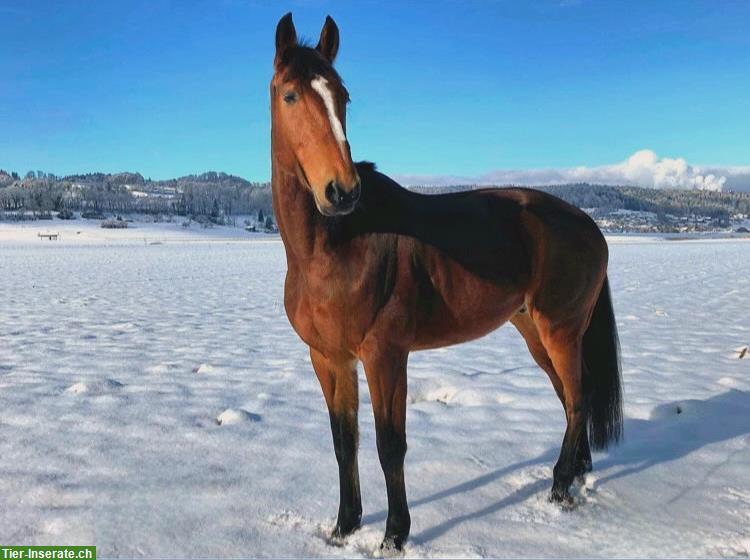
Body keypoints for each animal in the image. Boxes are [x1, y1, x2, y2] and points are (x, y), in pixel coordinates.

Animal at [270, 13, 624, 552]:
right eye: (290, 95)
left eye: (343, 95)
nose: (341, 190)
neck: (333, 248)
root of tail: (588, 224)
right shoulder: (329, 358)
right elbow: (344, 442)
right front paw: (344, 527)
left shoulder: (385, 356)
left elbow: (389, 445)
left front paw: (394, 535)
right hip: (536, 333)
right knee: (571, 400)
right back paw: (576, 474)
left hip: (560, 330)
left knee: (578, 399)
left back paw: (561, 486)